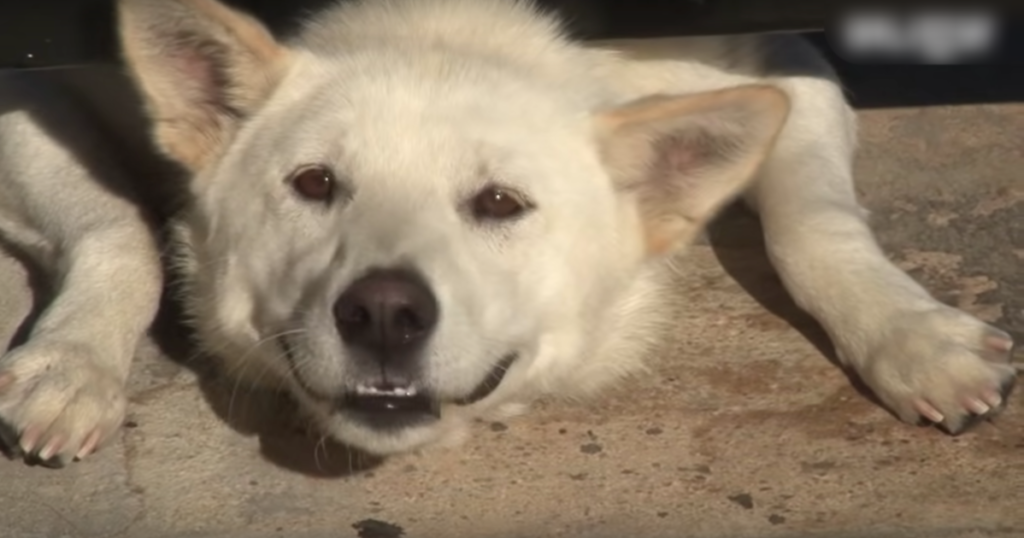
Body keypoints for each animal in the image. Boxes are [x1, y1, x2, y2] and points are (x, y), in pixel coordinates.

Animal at [0, 0, 1015, 463]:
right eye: (315, 184)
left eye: (499, 203)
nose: (383, 314)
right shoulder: (28, 78)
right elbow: (122, 229)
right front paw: (73, 363)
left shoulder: (782, 55)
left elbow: (813, 221)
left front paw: (915, 336)